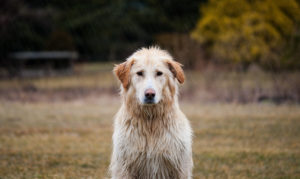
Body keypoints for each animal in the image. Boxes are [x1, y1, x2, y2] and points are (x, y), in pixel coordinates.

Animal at [109, 46, 192, 178]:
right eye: (139, 73)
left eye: (159, 73)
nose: (149, 94)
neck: (150, 121)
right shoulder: (124, 168)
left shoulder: (180, 168)